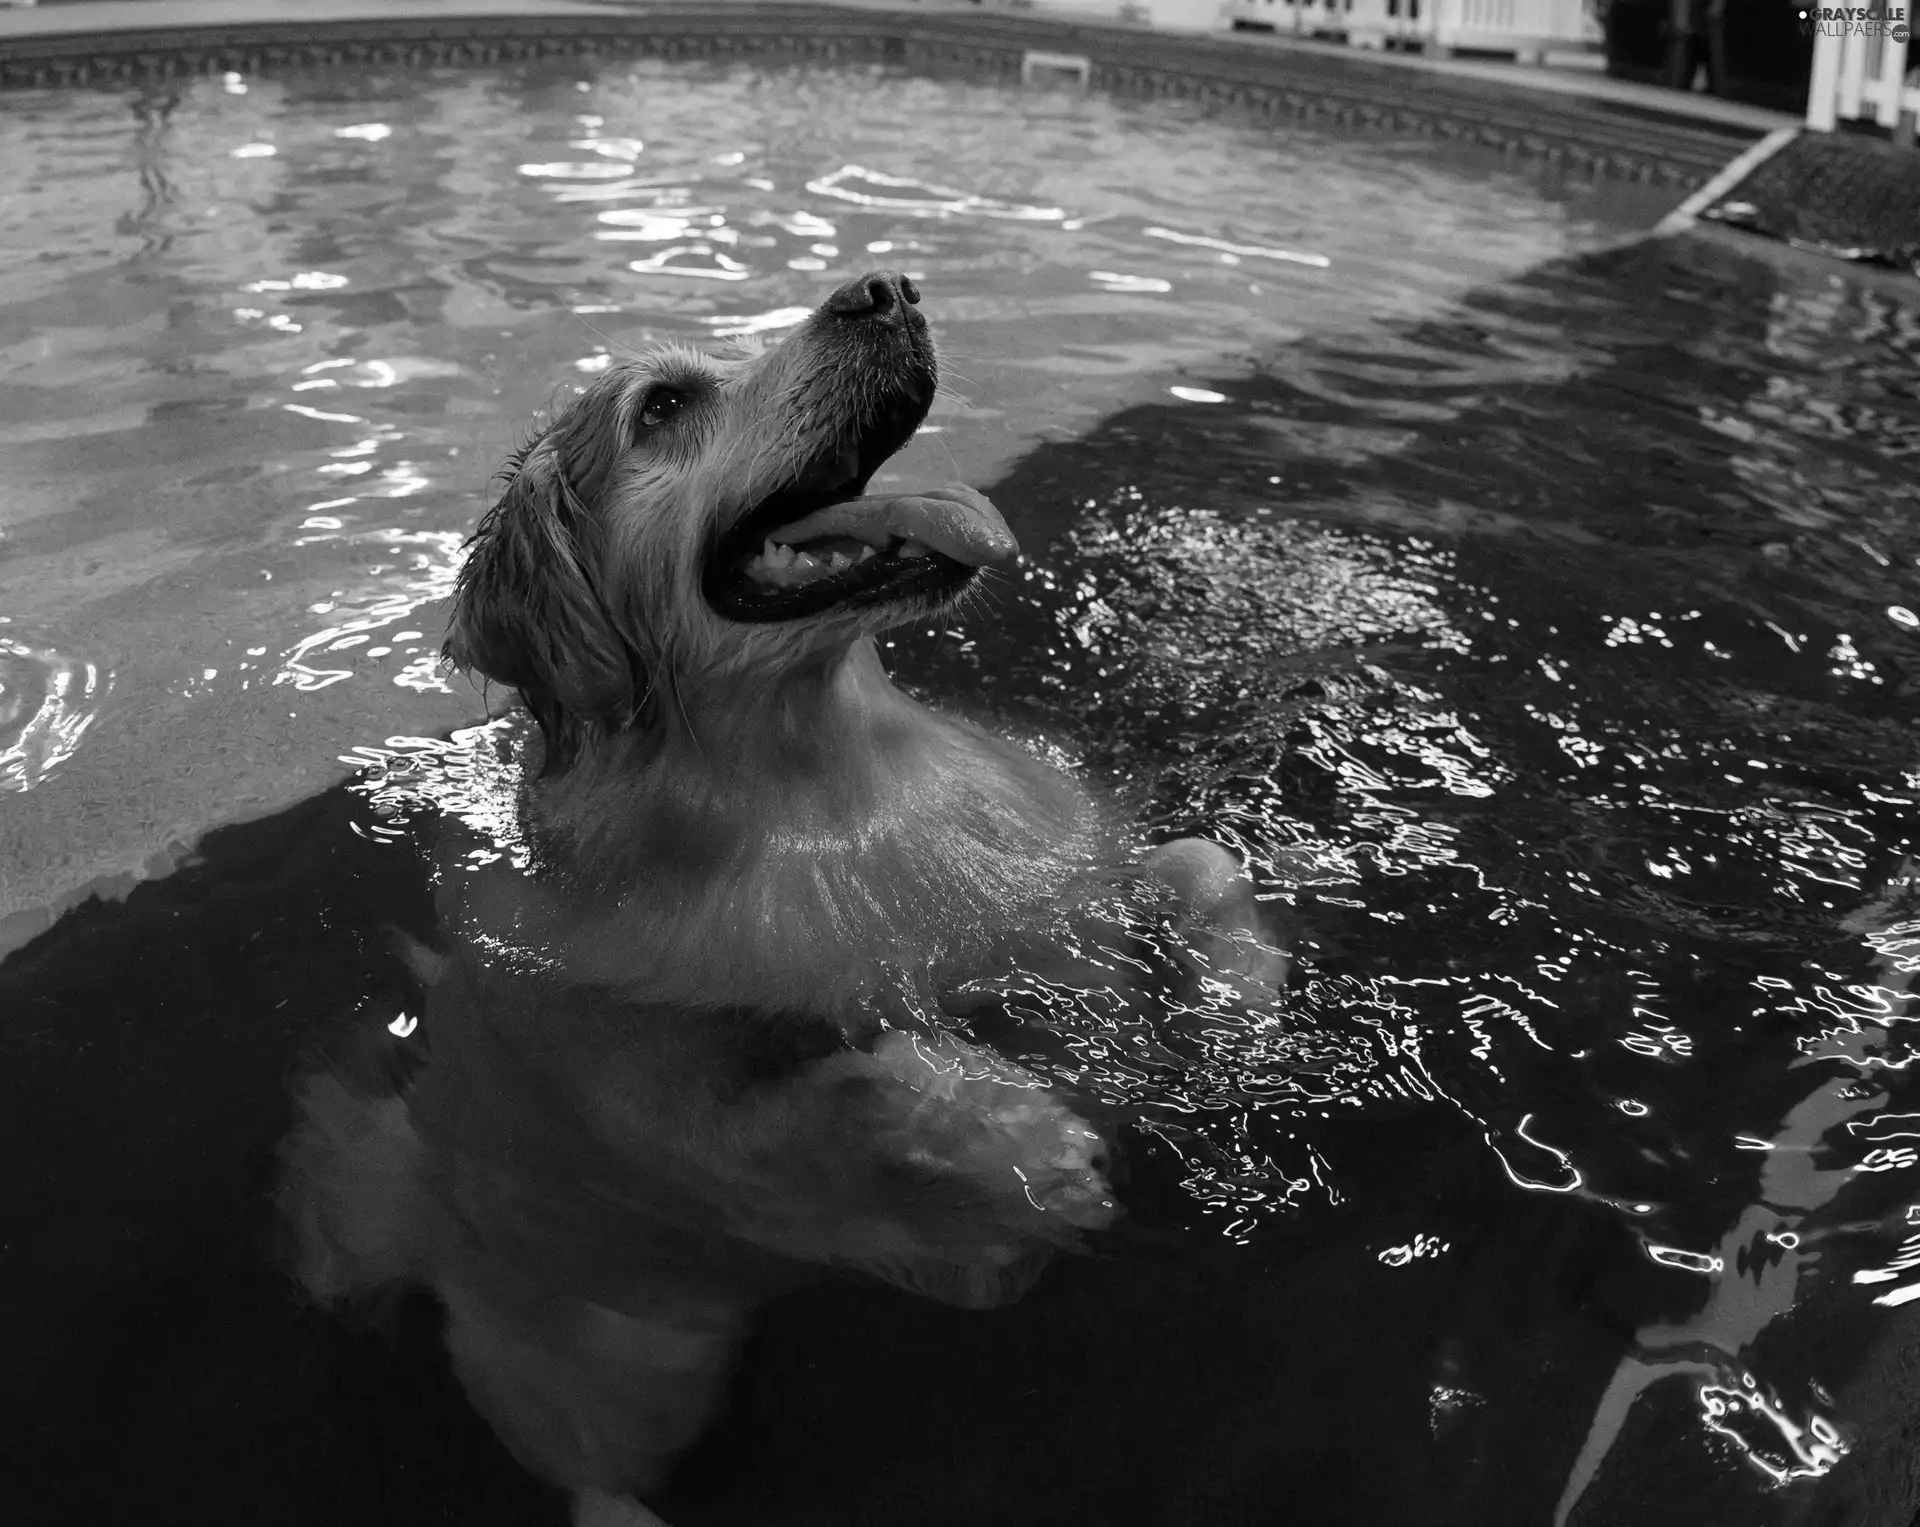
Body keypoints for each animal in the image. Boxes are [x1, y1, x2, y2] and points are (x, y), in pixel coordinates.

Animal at [280, 268, 1259, 1521]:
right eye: (660, 408)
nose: (886, 287)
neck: (831, 787)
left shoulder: (1051, 887)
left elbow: (1195, 863)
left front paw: (1241, 1001)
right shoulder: (660, 1113)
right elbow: (849, 1090)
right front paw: (1023, 1142)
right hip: (605, 1357)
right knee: (593, 1482)